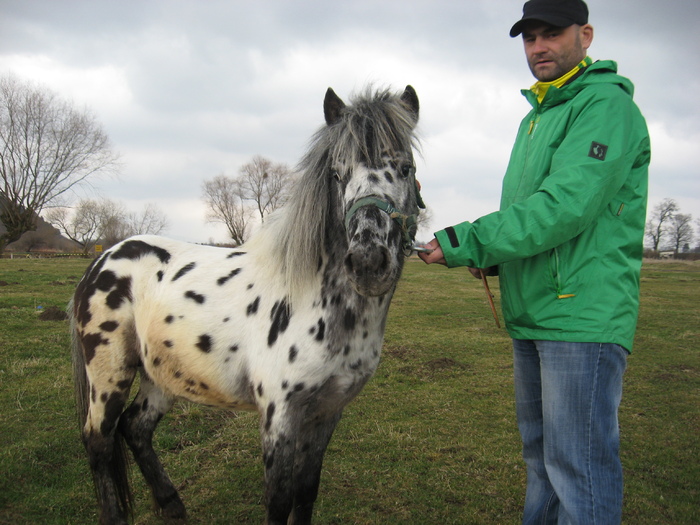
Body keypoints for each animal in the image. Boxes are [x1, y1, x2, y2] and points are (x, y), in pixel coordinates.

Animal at [71, 84, 424, 520]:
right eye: (337, 174)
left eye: (406, 169)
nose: (368, 262)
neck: (322, 304)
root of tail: (104, 257)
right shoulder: (279, 415)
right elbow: (279, 499)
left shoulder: (327, 412)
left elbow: (306, 491)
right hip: (109, 374)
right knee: (100, 442)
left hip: (161, 375)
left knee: (135, 429)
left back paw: (173, 508)